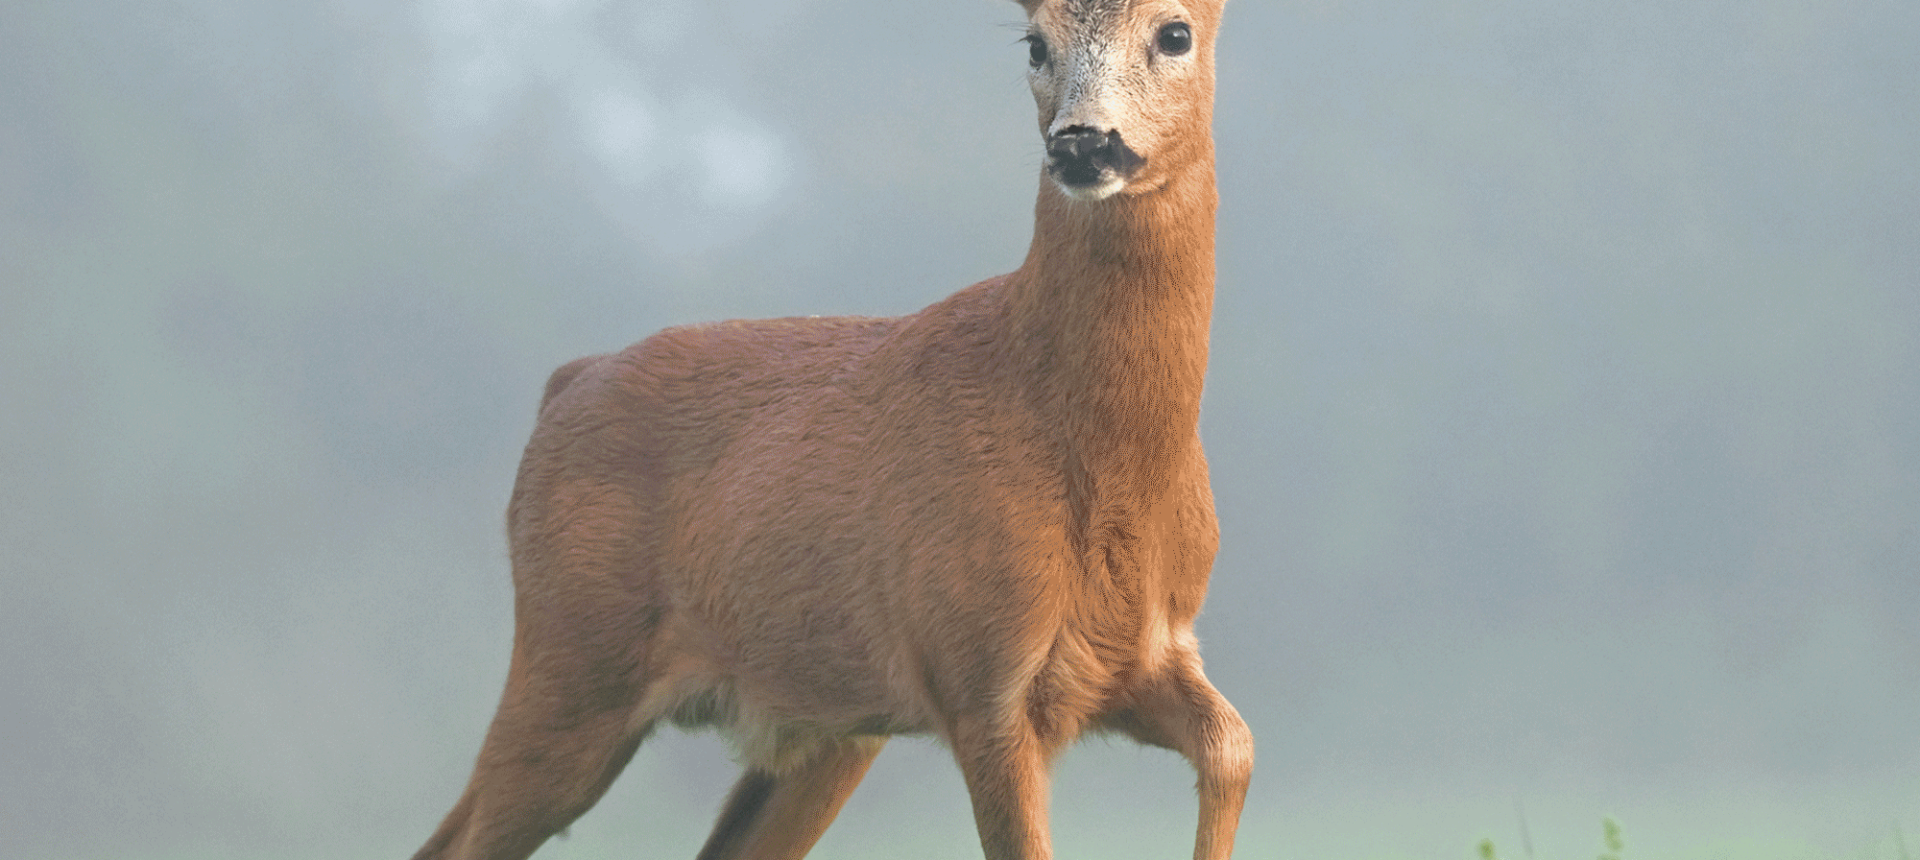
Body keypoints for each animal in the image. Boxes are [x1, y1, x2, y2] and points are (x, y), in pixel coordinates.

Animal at [408, 1, 1244, 860]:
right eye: (1035, 42)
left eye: (1176, 33)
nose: (1082, 142)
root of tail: (565, 383)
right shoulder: (978, 675)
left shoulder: (1148, 651)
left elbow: (1233, 747)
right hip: (571, 659)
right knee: (455, 840)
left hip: (825, 728)